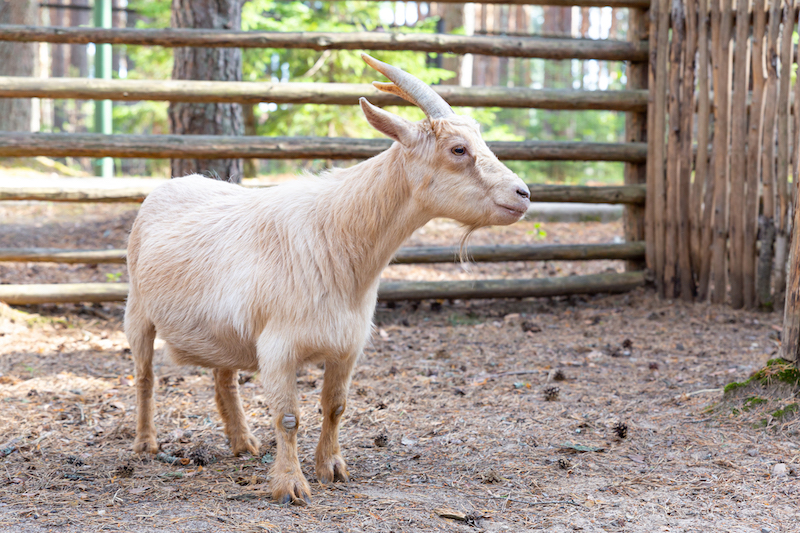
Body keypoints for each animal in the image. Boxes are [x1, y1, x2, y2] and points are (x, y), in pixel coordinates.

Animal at [125, 54, 532, 502]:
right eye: (458, 149)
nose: (523, 194)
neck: (335, 237)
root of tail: (167, 186)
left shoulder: (347, 346)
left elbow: (335, 406)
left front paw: (333, 468)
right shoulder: (278, 347)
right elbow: (288, 416)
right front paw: (290, 486)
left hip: (223, 330)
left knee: (223, 377)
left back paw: (242, 442)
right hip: (137, 311)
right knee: (144, 376)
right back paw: (146, 443)